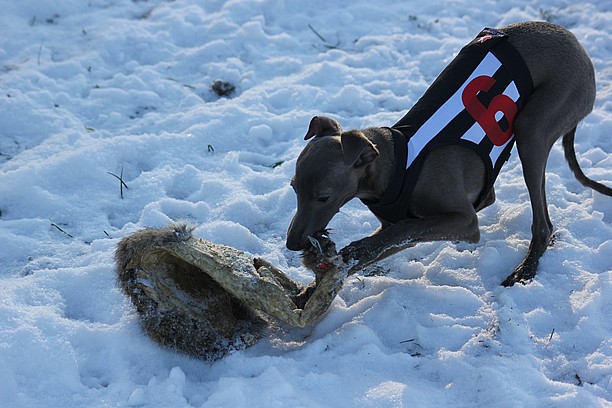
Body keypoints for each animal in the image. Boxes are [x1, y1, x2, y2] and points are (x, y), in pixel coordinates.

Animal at [286, 19, 612, 286]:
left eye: (324, 197)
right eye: (294, 188)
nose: (292, 244)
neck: (398, 162)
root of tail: (573, 40)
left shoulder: (464, 222)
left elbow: (405, 228)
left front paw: (353, 251)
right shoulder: (404, 225)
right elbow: (394, 237)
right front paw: (314, 290)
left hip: (532, 128)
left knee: (542, 224)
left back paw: (526, 268)